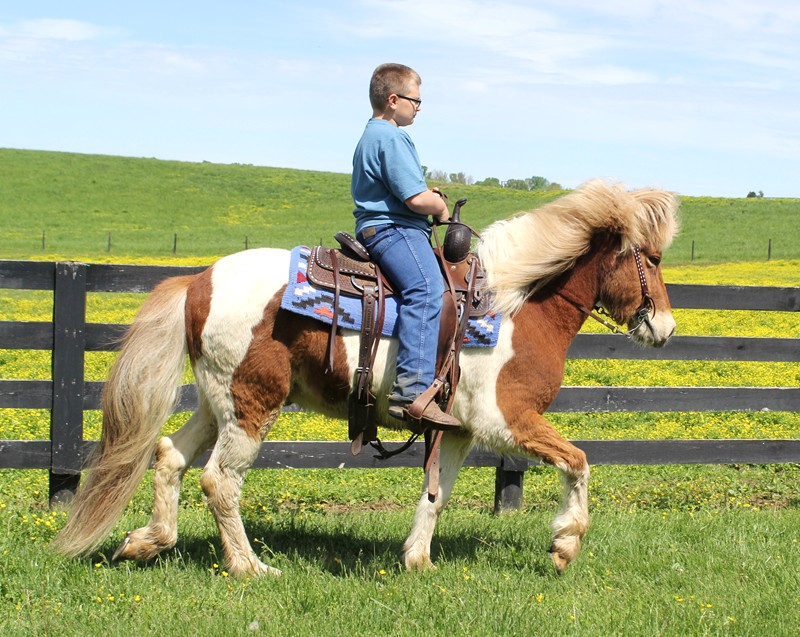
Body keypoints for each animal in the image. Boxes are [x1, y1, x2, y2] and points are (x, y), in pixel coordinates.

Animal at [52, 178, 679, 577]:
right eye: (649, 259)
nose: (666, 327)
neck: (515, 306)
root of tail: (198, 280)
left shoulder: (457, 429)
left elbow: (436, 494)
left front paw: (417, 560)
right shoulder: (508, 421)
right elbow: (579, 461)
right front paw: (565, 545)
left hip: (216, 403)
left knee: (169, 456)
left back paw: (146, 542)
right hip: (252, 405)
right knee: (219, 481)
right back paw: (250, 566)